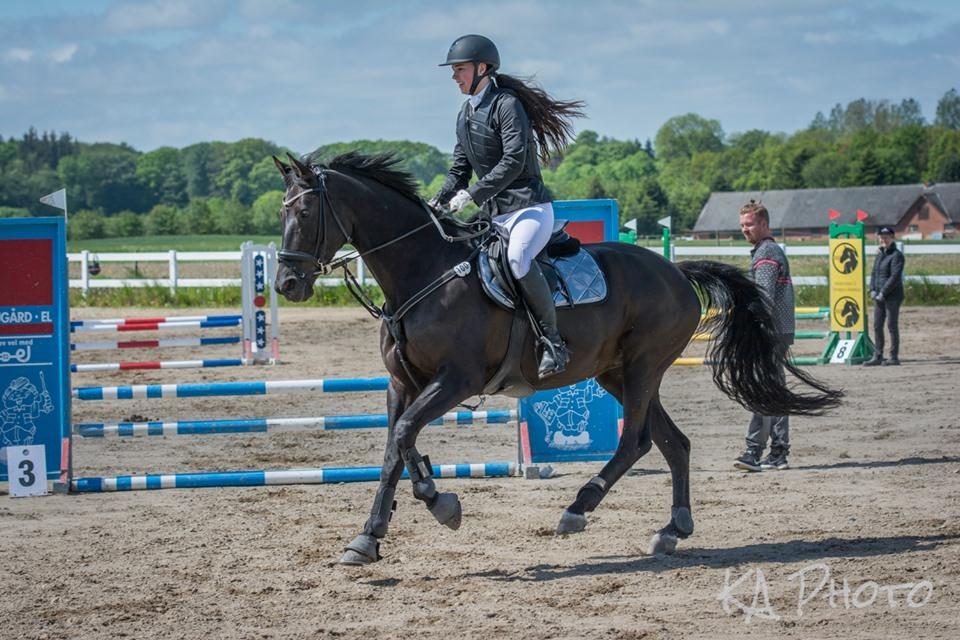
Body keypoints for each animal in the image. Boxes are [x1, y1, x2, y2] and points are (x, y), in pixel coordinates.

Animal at [270, 154, 840, 564]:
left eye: (304, 212)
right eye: (281, 212)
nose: (287, 284)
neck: (423, 272)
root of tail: (676, 271)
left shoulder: (455, 380)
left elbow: (408, 434)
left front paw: (441, 502)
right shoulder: (401, 384)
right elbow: (393, 449)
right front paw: (368, 539)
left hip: (641, 367)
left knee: (635, 441)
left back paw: (576, 510)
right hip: (616, 373)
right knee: (673, 443)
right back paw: (672, 530)